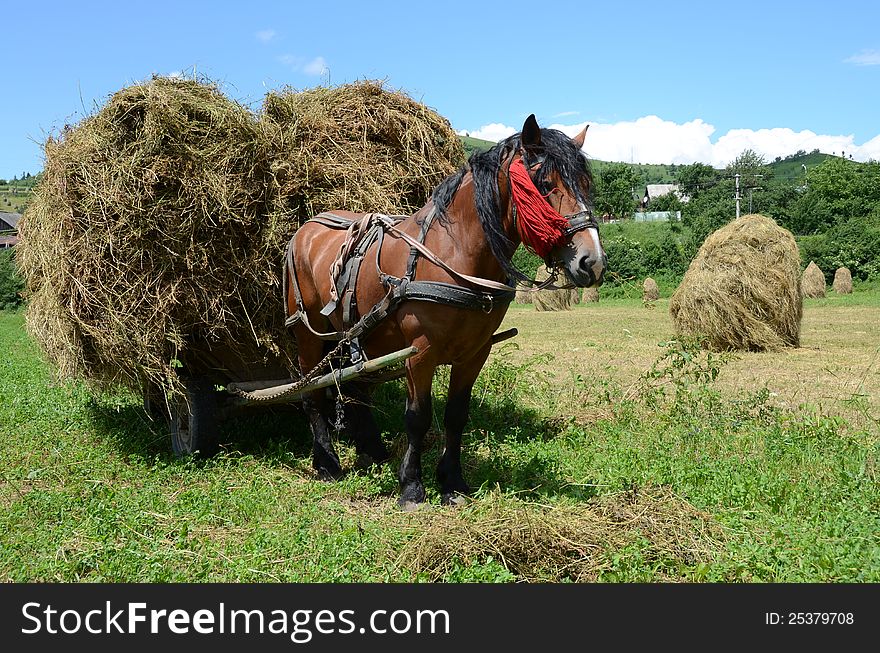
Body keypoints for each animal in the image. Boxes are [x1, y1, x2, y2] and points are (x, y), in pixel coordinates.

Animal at [288, 114, 604, 506]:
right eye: (544, 185)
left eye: (586, 185)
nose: (592, 261)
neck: (455, 254)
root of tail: (306, 228)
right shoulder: (419, 352)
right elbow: (418, 417)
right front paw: (411, 485)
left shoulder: (475, 352)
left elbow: (456, 415)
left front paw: (452, 480)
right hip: (307, 335)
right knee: (312, 394)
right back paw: (326, 462)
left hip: (357, 336)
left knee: (357, 387)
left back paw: (371, 451)